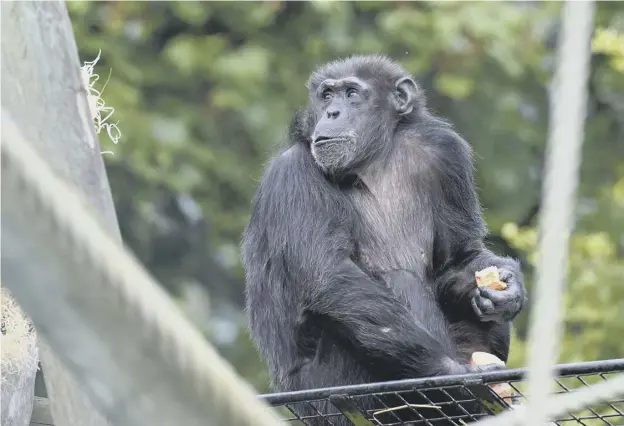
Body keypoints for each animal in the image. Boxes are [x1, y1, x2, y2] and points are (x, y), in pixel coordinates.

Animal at [241, 55, 524, 424]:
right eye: (327, 95)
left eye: (351, 93)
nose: (332, 112)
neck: (376, 160)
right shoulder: (294, 176)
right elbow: (329, 274)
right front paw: (452, 374)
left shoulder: (448, 155)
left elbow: (458, 256)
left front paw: (509, 288)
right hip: (334, 399)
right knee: (394, 283)